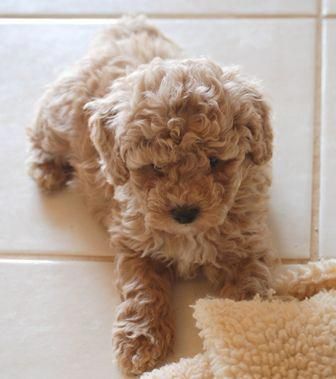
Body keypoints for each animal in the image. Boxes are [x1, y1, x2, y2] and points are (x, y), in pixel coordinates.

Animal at [27, 16, 276, 376]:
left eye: (215, 161)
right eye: (155, 167)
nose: (185, 213)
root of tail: (127, 29)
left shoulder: (245, 244)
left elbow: (249, 287)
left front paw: (251, 332)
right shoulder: (136, 244)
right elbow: (143, 289)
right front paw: (140, 340)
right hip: (57, 117)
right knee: (39, 131)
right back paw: (47, 169)